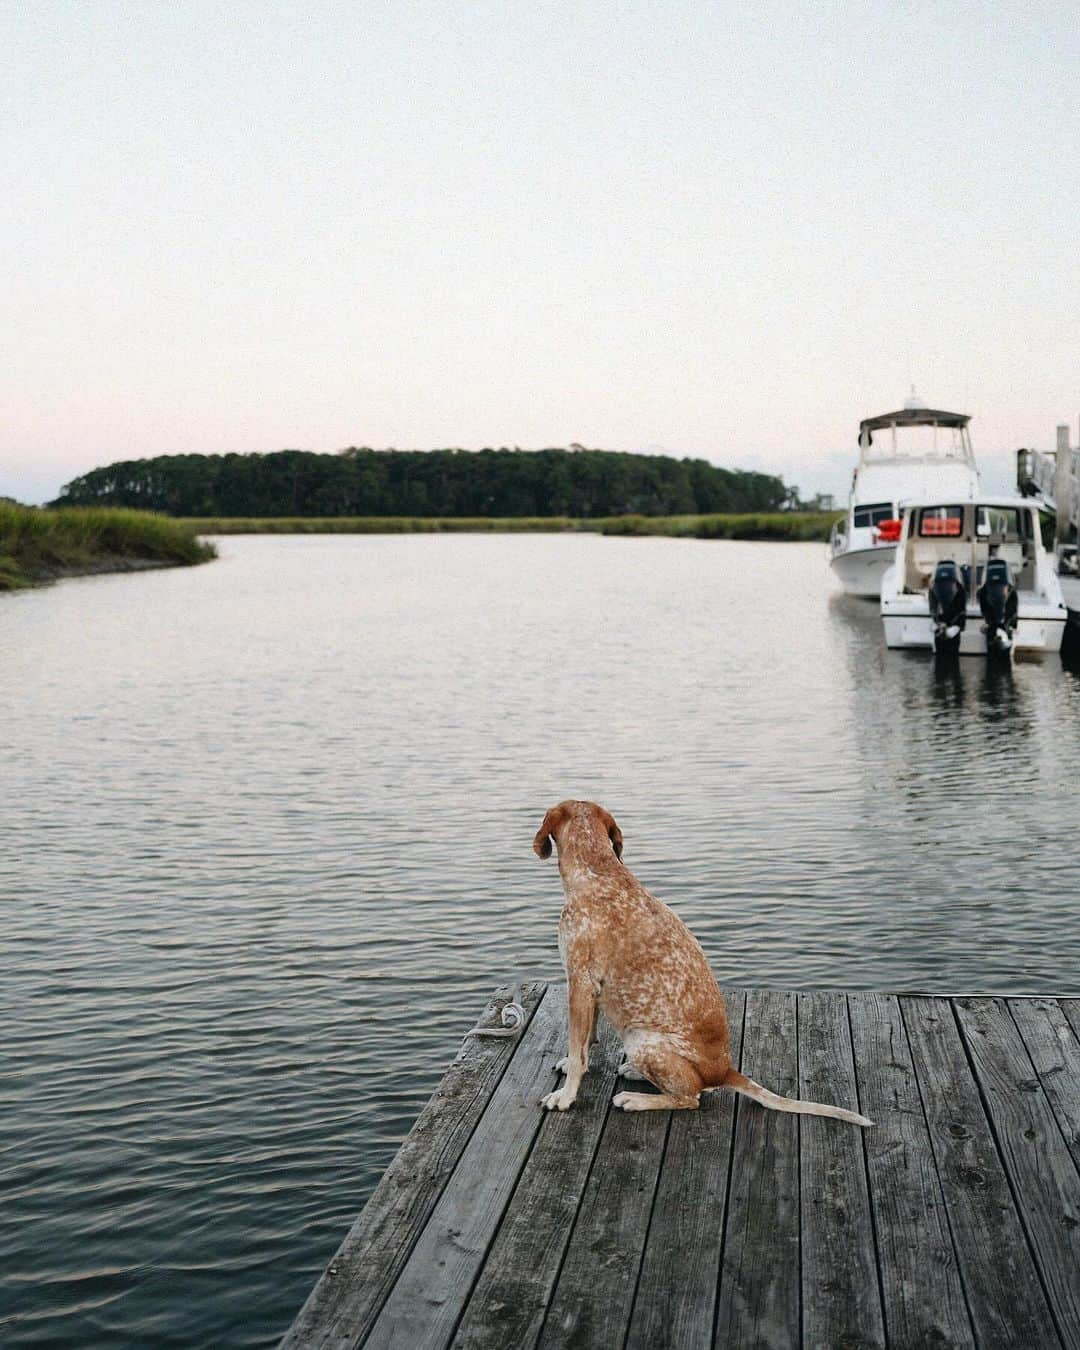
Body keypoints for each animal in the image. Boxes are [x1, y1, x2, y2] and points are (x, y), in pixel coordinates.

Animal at [534, 793, 874, 1123]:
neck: (598, 870)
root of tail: (725, 1072)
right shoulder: (590, 989)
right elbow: (587, 1040)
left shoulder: (579, 982)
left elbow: (578, 1051)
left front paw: (566, 1096)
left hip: (640, 1038)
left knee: (690, 1098)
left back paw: (636, 1099)